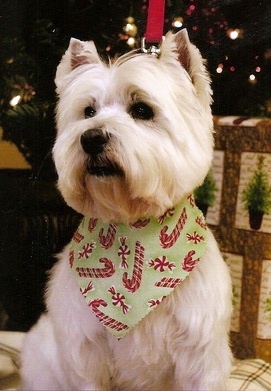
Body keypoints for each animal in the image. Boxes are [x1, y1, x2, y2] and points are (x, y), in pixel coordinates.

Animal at [21, 30, 234, 391]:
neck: (133, 228)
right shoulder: (86, 353)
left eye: (142, 109)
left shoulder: (200, 353)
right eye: (88, 111)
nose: (91, 138)